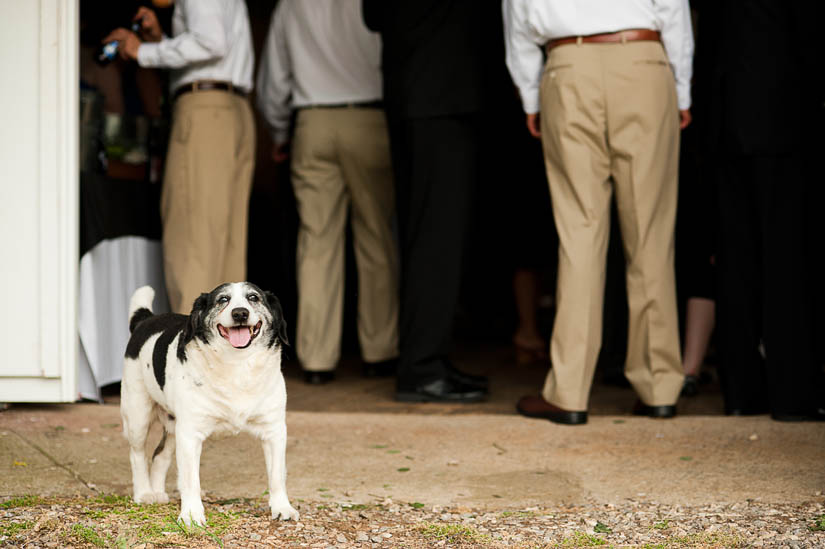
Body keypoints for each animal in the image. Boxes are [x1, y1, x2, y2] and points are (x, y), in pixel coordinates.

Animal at [120, 282, 300, 528]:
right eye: (222, 300)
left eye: (253, 297)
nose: (240, 313)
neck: (237, 365)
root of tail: (147, 318)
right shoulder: (190, 434)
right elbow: (190, 481)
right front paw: (191, 514)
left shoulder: (274, 430)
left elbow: (277, 476)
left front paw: (282, 508)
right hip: (138, 415)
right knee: (137, 454)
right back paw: (144, 494)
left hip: (174, 426)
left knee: (160, 455)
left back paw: (157, 492)